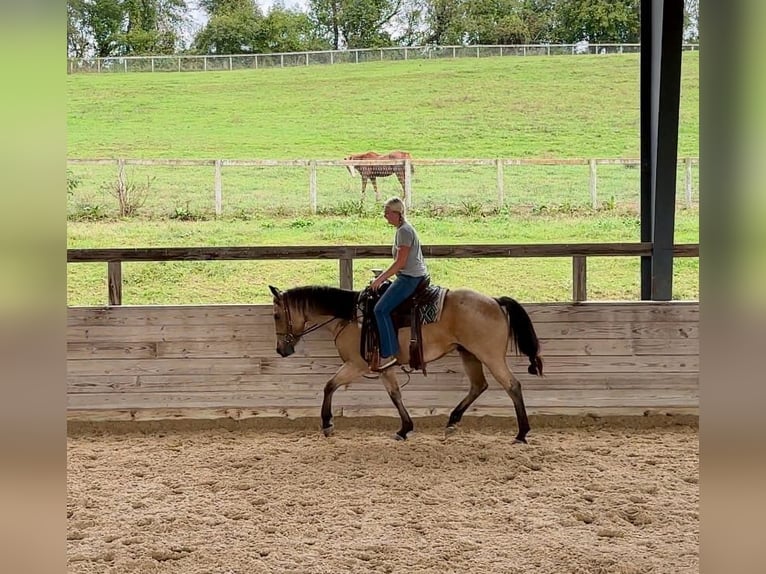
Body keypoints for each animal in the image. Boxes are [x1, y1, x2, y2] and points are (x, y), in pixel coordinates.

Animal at [270, 286, 544, 444]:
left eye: (276, 315)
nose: (281, 349)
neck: (350, 318)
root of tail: (495, 301)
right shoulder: (384, 367)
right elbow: (395, 394)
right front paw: (405, 429)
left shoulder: (357, 364)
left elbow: (329, 386)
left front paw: (327, 424)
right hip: (469, 354)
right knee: (479, 385)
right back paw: (452, 422)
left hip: (490, 356)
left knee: (512, 386)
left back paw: (521, 434)